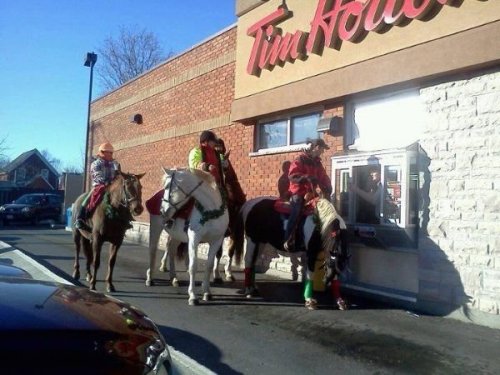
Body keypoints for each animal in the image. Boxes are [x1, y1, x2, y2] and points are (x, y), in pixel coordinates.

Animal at [146, 167, 229, 306]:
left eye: (168, 186)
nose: (162, 210)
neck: (211, 210)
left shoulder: (217, 241)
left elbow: (209, 265)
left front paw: (207, 292)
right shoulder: (194, 239)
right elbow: (192, 266)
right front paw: (193, 295)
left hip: (176, 236)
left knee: (171, 250)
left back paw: (174, 278)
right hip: (156, 227)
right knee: (152, 250)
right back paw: (149, 278)